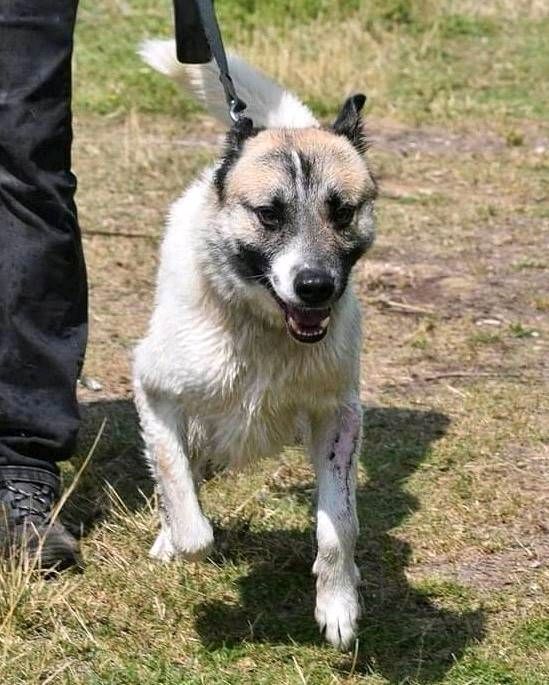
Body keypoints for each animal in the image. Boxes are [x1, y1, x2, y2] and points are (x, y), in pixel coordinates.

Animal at [134, 40, 376, 648]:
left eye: (342, 210)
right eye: (269, 214)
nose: (315, 286)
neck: (264, 333)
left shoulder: (339, 414)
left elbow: (340, 526)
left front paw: (337, 604)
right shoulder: (152, 387)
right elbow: (183, 504)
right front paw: (180, 538)